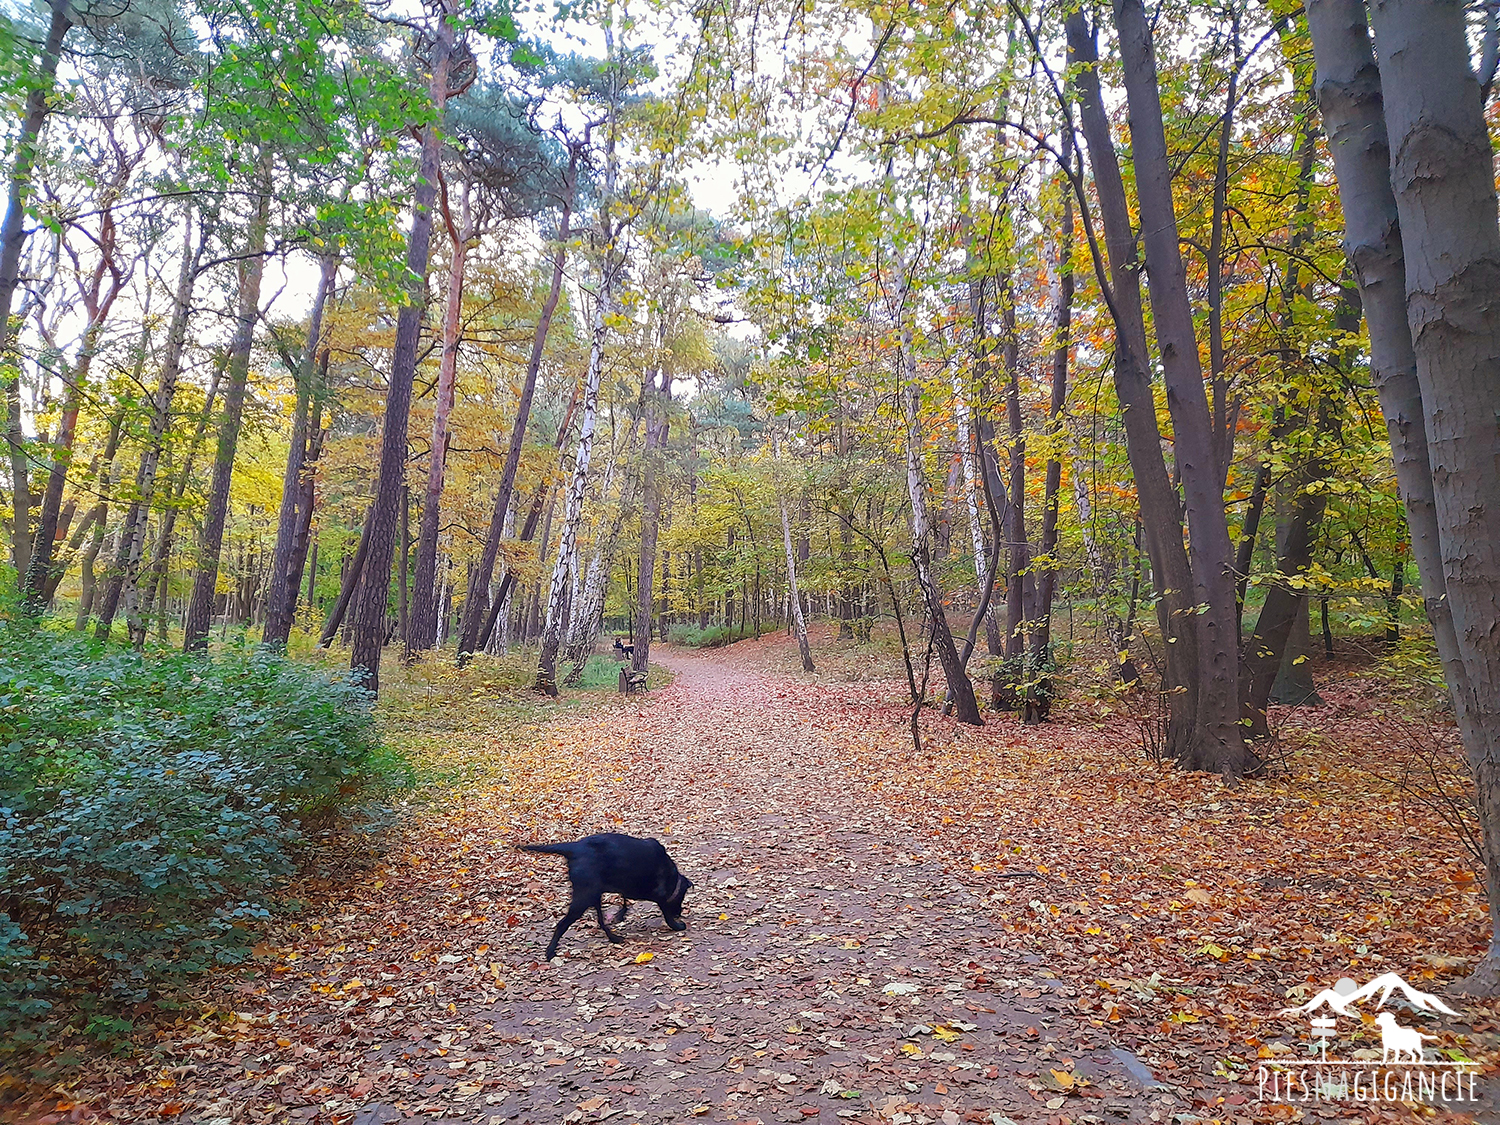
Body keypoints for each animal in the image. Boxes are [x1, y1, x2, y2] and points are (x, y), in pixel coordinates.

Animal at [519, 840, 693, 960]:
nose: (680, 914)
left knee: (600, 921)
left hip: (593, 895)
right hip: (584, 898)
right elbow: (666, 913)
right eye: (681, 899)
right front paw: (677, 925)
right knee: (562, 924)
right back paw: (550, 952)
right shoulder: (661, 895)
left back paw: (614, 938)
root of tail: (574, 848)